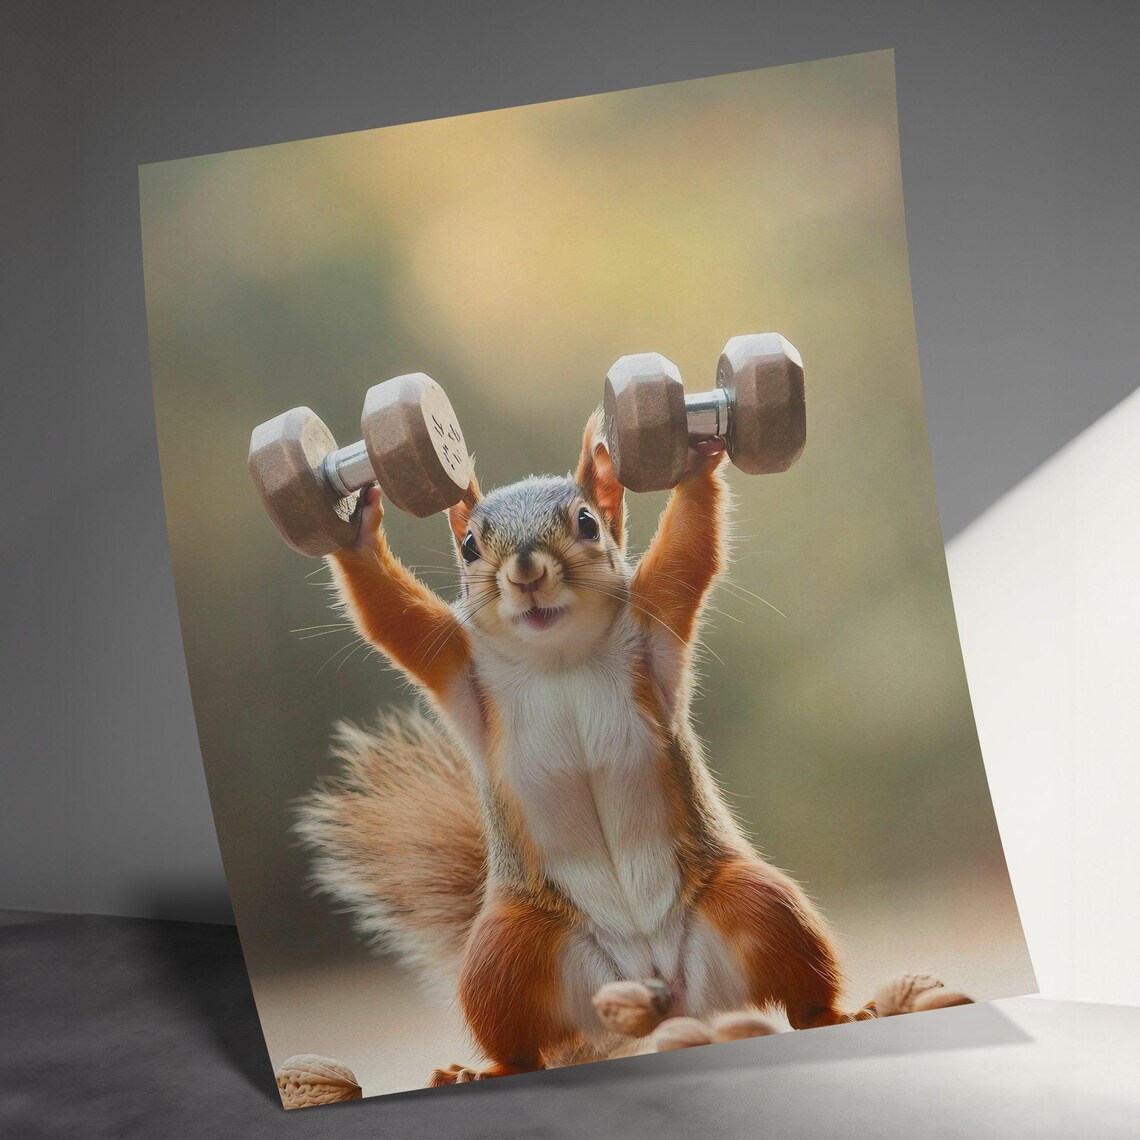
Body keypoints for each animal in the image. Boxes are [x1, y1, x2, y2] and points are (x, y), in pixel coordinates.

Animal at [295, 410, 878, 1086]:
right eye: (469, 546)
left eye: (587, 523)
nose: (525, 572)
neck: (559, 654)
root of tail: (657, 991)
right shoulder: (454, 658)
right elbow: (396, 618)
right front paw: (355, 531)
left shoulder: (655, 616)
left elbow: (688, 552)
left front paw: (697, 458)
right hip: (512, 952)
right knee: (518, 1033)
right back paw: (488, 1069)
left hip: (757, 908)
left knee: (794, 972)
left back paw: (836, 1014)